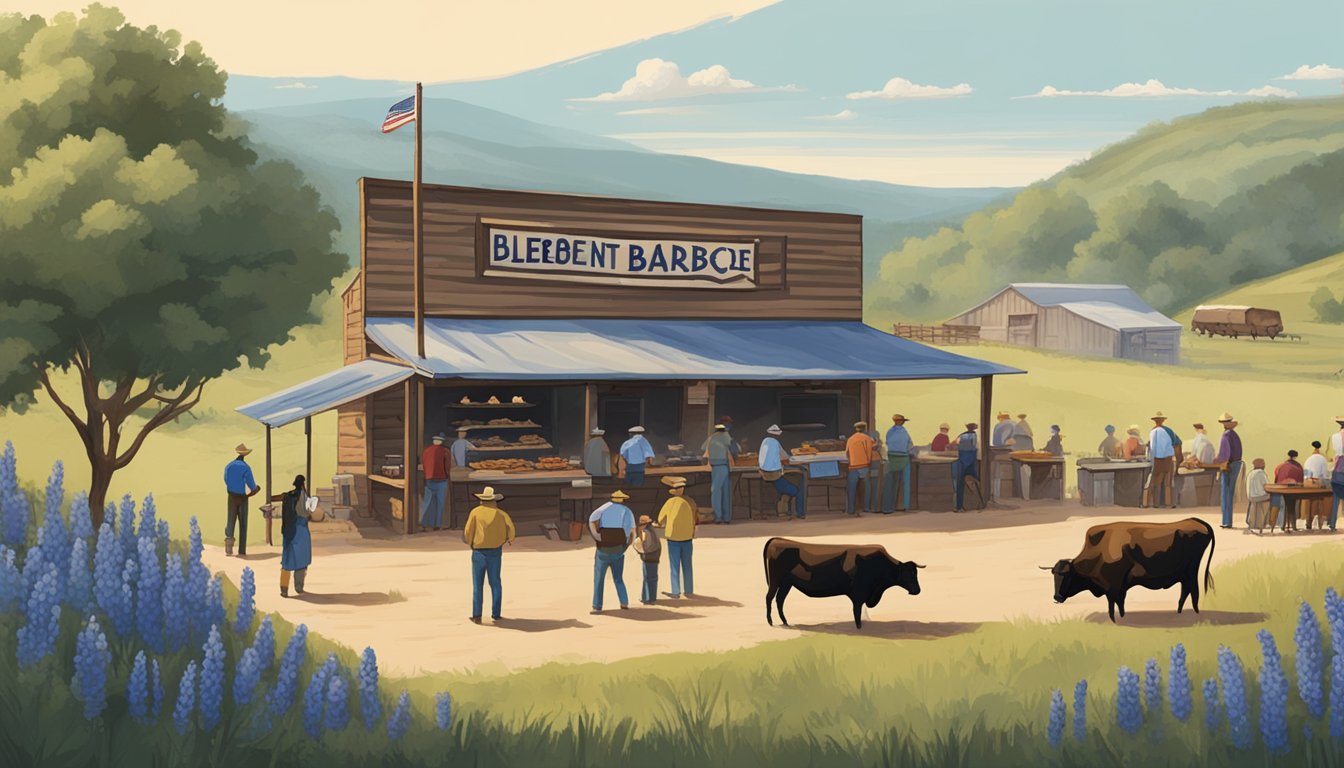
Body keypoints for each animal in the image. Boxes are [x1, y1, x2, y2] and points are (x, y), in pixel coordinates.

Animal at [768, 538, 924, 626]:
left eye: (916, 573)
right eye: (908, 575)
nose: (917, 591)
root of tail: (778, 540)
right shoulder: (859, 594)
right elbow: (857, 612)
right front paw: (859, 628)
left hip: (786, 583)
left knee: (779, 599)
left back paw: (785, 622)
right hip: (776, 581)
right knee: (769, 597)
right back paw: (770, 622)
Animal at [1037, 516, 1220, 624]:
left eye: (1067, 576)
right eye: (1054, 575)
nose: (1057, 596)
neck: (1099, 550)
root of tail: (1197, 521)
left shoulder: (1112, 587)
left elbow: (1112, 605)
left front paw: (1114, 621)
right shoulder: (1120, 587)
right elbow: (1121, 603)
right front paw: (1122, 616)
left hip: (1191, 572)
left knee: (1193, 591)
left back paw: (1194, 615)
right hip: (1184, 575)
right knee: (1186, 591)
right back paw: (1180, 613)